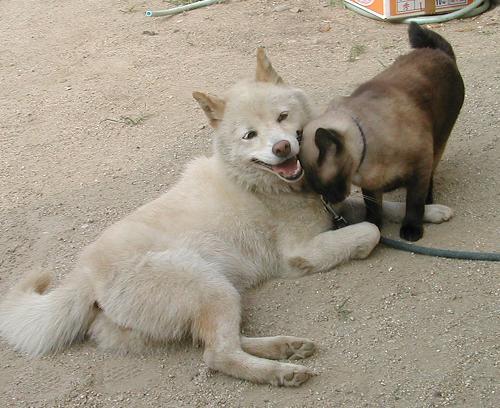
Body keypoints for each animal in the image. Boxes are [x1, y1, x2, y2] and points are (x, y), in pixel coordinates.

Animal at [0, 49, 454, 388]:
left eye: (283, 118)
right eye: (249, 136)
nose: (283, 148)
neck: (262, 184)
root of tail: (85, 274)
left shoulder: (333, 208)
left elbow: (375, 207)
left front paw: (429, 211)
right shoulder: (303, 250)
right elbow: (370, 229)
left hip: (218, 292)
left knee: (222, 343)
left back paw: (285, 348)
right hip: (207, 285)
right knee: (217, 355)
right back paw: (281, 372)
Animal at [296, 23, 464, 242]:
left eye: (328, 185)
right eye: (319, 190)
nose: (332, 201)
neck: (363, 167)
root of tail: (436, 51)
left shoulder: (420, 167)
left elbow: (414, 203)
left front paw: (411, 230)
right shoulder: (371, 185)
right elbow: (374, 208)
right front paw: (374, 224)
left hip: (439, 142)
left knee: (429, 178)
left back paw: (428, 201)